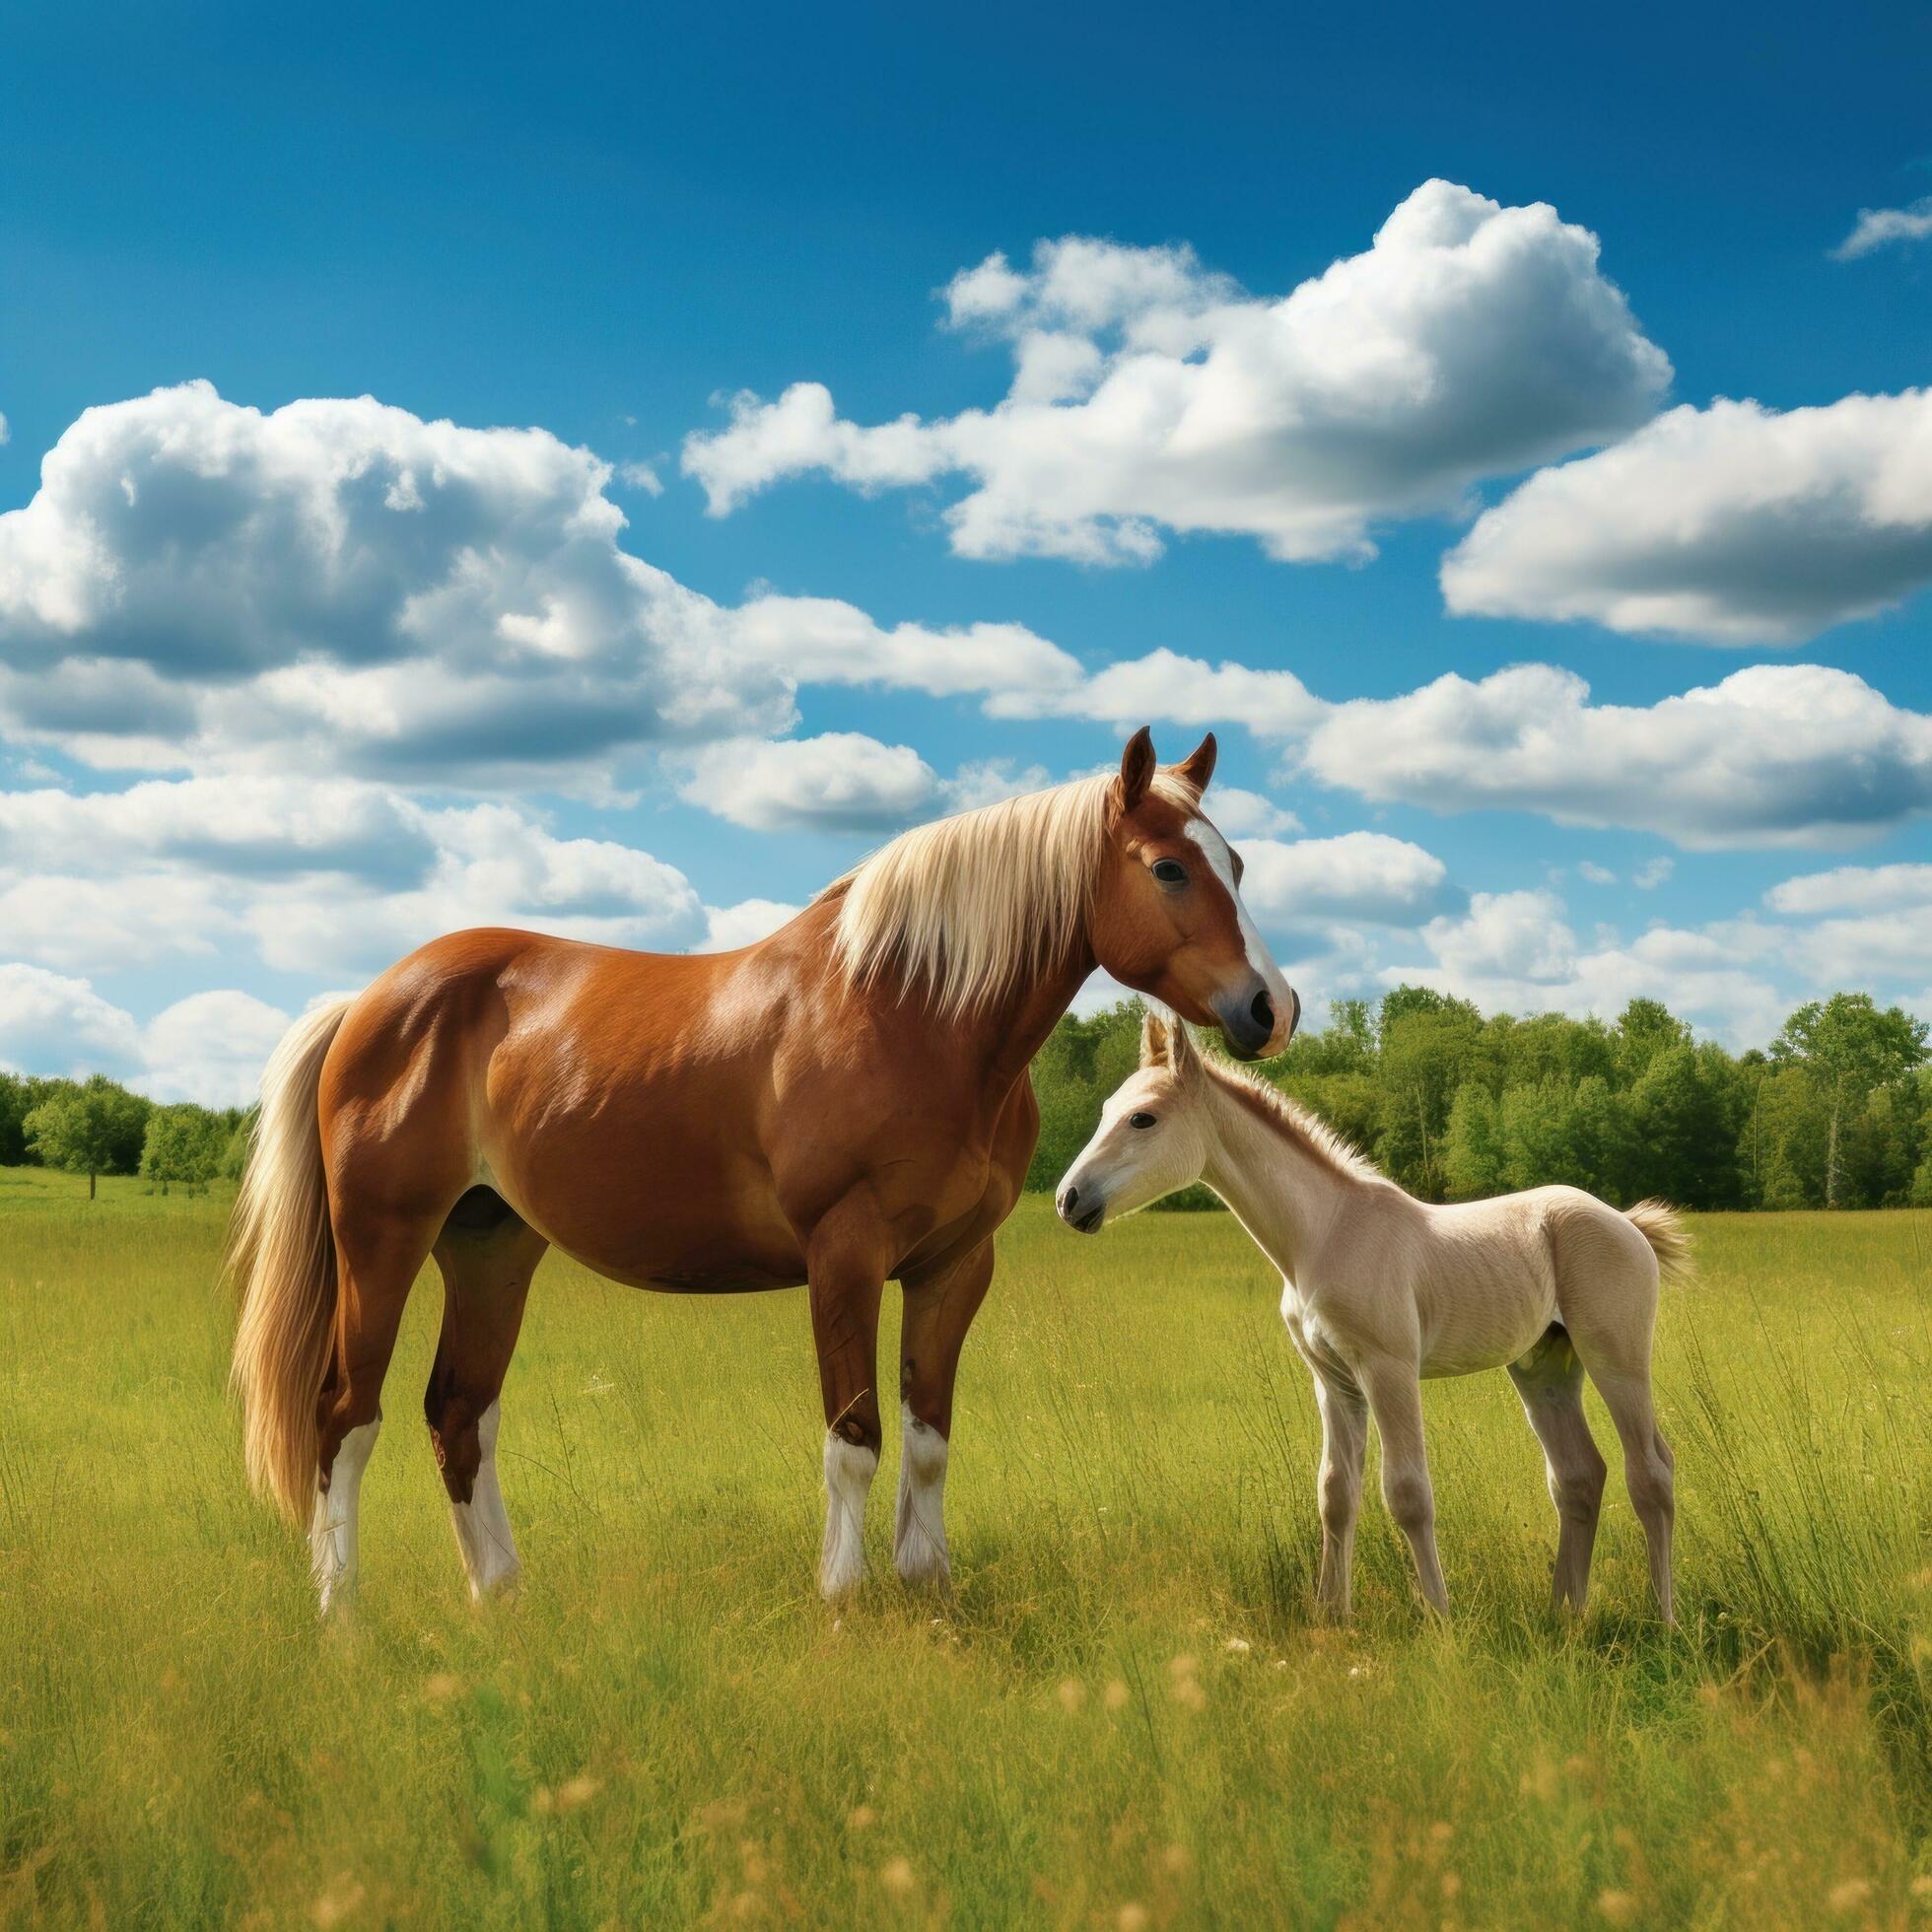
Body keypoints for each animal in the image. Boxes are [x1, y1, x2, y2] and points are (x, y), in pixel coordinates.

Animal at [238, 723, 1298, 1599]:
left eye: (1238, 863)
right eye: (1168, 867)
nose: (1270, 1008)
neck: (911, 1014)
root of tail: (370, 1001)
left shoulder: (956, 1264)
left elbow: (928, 1441)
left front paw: (929, 1590)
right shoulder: (844, 1253)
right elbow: (855, 1439)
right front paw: (843, 1599)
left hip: (491, 1245)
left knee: (459, 1412)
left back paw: (501, 1601)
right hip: (383, 1240)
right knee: (344, 1417)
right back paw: (343, 1618)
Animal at [1059, 1019, 1691, 1622]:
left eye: (1144, 1118)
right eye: (1107, 1110)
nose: (1070, 1199)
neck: (1325, 1234)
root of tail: (1627, 1223)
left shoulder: (1388, 1370)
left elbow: (1408, 1492)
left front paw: (1439, 1618)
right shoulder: (1334, 1381)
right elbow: (1336, 1493)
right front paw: (1333, 1613)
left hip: (1616, 1358)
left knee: (1651, 1472)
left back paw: (1664, 1618)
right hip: (1543, 1368)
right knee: (1579, 1476)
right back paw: (1565, 1612)